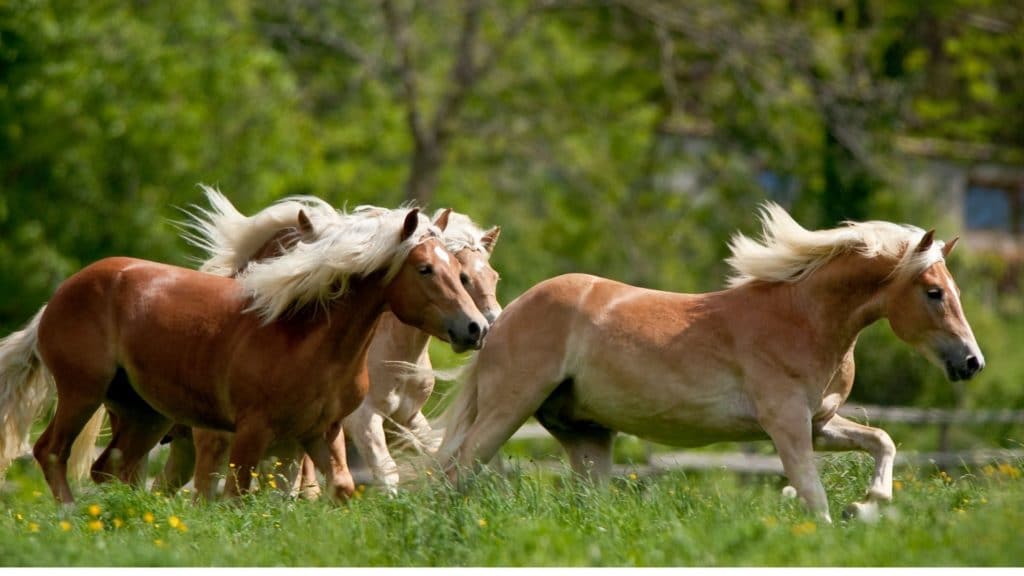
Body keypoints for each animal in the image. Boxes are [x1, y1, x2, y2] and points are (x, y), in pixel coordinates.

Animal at [0, 194, 487, 500]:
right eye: (425, 269)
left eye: (458, 270)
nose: (476, 328)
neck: (308, 338)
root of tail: (59, 296)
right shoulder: (249, 433)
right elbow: (234, 496)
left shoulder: (320, 432)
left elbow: (339, 489)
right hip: (83, 392)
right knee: (51, 451)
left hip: (145, 415)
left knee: (114, 471)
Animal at [438, 203, 983, 522]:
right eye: (934, 292)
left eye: (955, 289)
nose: (972, 362)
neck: (802, 319)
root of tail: (502, 317)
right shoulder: (786, 424)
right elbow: (813, 495)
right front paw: (835, 516)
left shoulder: (818, 424)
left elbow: (882, 441)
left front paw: (867, 505)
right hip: (509, 407)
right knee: (455, 471)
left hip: (586, 434)